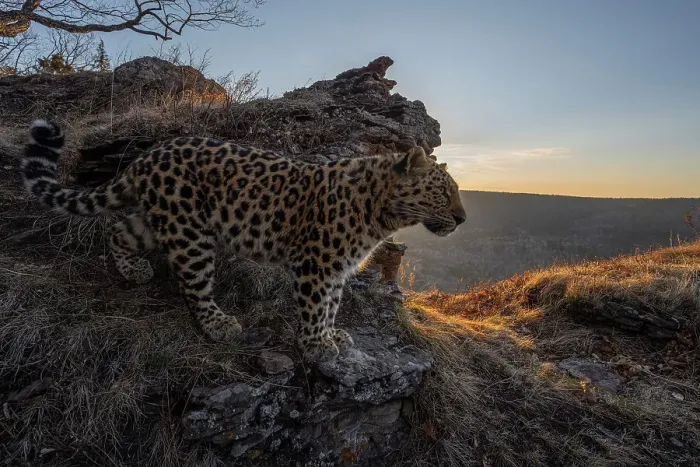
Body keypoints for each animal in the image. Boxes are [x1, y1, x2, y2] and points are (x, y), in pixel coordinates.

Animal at [22, 119, 467, 362]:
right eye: (444, 192)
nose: (463, 219)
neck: (381, 214)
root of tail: (146, 157)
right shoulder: (318, 263)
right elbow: (316, 304)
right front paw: (316, 343)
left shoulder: (338, 266)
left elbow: (333, 304)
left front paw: (331, 334)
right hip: (190, 231)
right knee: (193, 284)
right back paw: (219, 324)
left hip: (158, 219)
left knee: (120, 230)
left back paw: (133, 271)